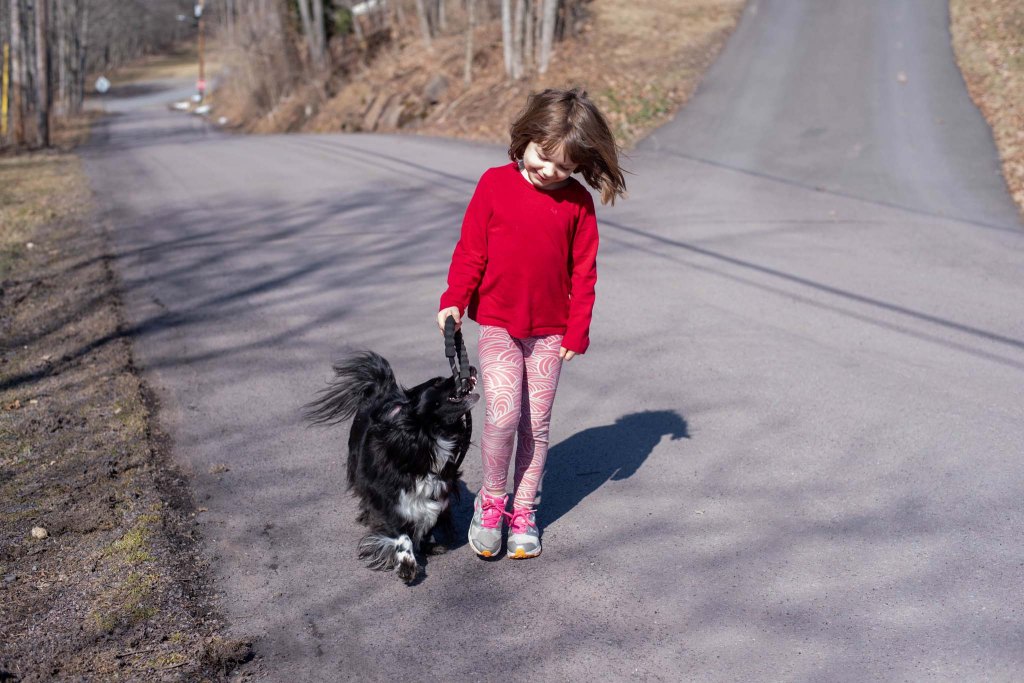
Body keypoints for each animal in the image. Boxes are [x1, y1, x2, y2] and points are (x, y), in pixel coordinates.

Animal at [305, 351, 478, 582]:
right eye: (438, 382)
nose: (472, 368)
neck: (426, 440)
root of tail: (381, 391)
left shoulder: (440, 487)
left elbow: (428, 514)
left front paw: (428, 543)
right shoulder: (385, 496)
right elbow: (400, 532)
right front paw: (406, 563)